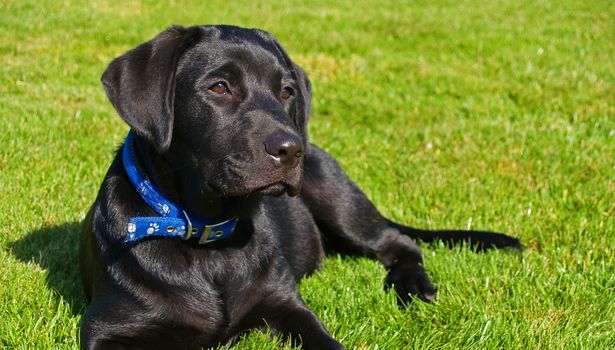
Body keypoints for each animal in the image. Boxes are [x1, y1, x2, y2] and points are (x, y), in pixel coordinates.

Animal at [78, 23, 520, 348]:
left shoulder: (286, 303)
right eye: (219, 87)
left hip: (337, 199)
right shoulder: (107, 327)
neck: (209, 235)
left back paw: (410, 285)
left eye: (286, 90)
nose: (293, 150)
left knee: (399, 243)